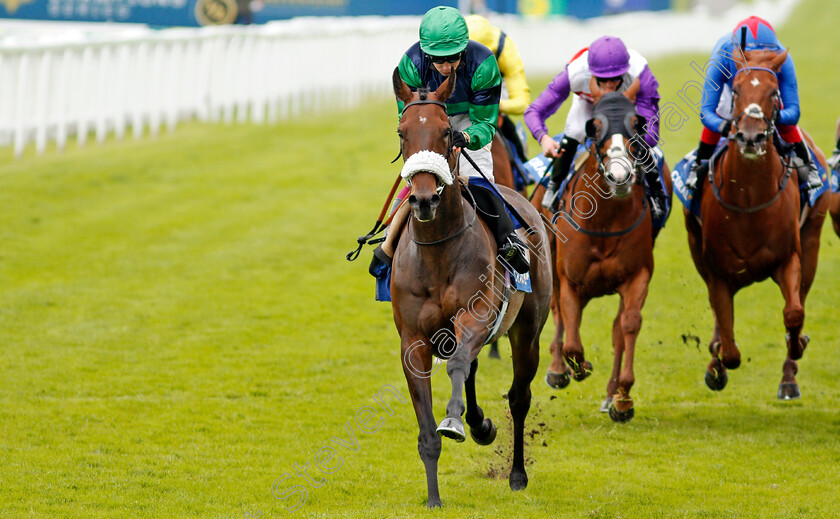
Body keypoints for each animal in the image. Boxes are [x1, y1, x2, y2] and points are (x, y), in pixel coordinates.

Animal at [540, 92, 668, 422]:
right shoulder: (570, 280)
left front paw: (623, 397)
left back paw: (612, 394)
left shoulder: (637, 276)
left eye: (637, 124)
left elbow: (628, 325)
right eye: (594, 127)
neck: (605, 221)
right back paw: (558, 369)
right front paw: (574, 366)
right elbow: (571, 338)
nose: (620, 176)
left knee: (617, 327)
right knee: (558, 313)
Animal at [684, 49, 832, 398]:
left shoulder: (788, 258)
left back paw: (789, 376)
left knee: (801, 298)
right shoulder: (718, 271)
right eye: (736, 91)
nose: (750, 137)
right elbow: (728, 345)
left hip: (812, 239)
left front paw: (797, 345)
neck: (749, 199)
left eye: (774, 92)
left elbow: (794, 313)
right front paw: (717, 364)